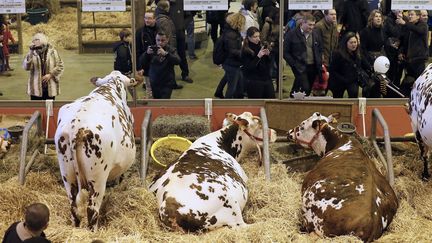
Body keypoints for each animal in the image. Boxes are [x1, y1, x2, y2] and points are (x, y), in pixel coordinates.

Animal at [54, 70, 138, 230]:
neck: (111, 85)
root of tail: (76, 127)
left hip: (67, 175)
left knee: (74, 207)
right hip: (98, 178)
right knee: (92, 210)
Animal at [148, 111, 276, 232]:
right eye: (259, 125)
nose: (275, 132)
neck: (220, 143)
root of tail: (167, 208)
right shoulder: (244, 176)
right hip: (230, 203)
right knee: (242, 226)